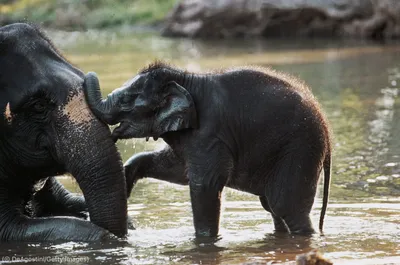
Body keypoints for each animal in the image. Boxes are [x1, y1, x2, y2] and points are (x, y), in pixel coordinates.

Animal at [83, 61, 332, 237]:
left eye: (127, 100)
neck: (183, 78)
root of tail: (327, 131)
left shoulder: (210, 134)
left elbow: (205, 185)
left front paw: (204, 241)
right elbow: (178, 171)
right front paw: (126, 182)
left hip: (300, 150)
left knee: (286, 208)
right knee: (272, 208)